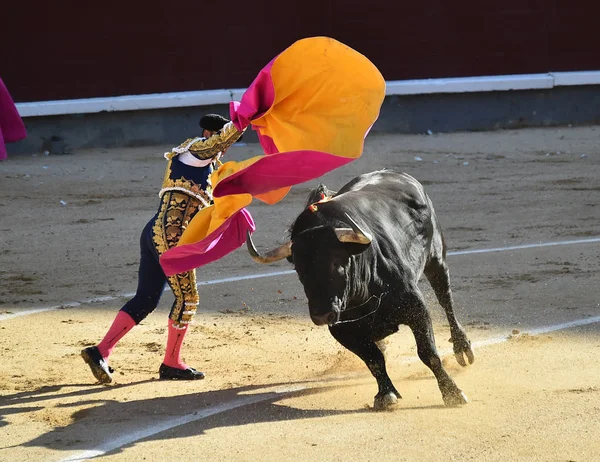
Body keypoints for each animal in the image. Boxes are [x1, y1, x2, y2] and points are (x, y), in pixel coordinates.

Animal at [246, 171, 476, 410]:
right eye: (299, 268)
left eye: (337, 261)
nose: (322, 315)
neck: (361, 294)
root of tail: (400, 175)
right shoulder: (342, 330)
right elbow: (373, 359)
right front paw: (385, 394)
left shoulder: (416, 308)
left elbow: (428, 353)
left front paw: (452, 393)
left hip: (436, 259)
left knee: (445, 299)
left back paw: (462, 347)